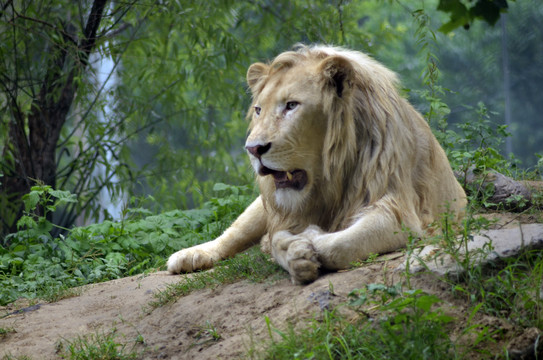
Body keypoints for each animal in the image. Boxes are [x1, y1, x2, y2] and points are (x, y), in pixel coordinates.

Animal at [167, 45, 468, 284]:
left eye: (291, 105)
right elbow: (277, 240)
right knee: (233, 232)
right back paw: (189, 256)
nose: (253, 149)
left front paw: (305, 241)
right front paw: (292, 251)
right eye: (258, 110)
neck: (330, 177)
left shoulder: (398, 211)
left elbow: (342, 243)